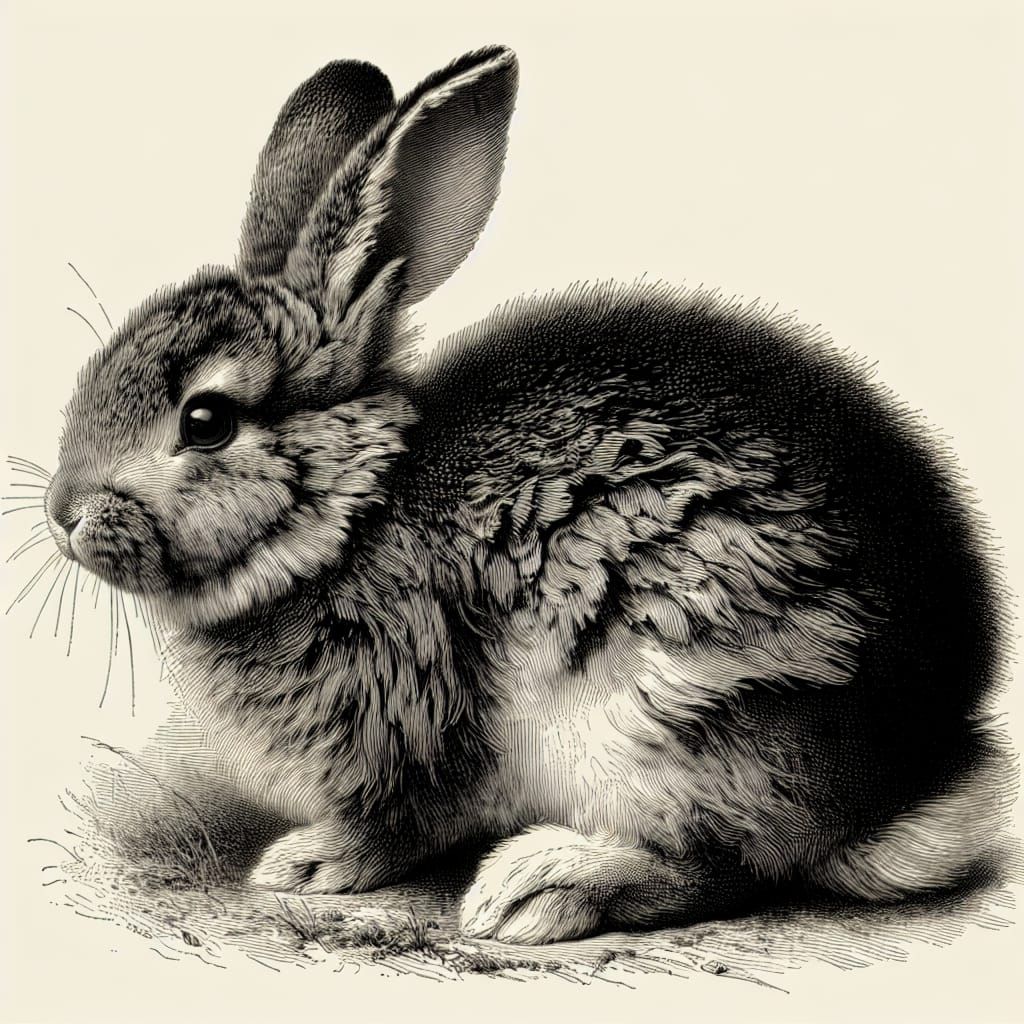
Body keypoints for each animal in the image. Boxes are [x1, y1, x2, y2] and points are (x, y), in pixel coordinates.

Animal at [43, 44, 1009, 945]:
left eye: (206, 420)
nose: (63, 516)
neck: (350, 516)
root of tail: (892, 791)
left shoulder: (409, 713)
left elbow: (395, 822)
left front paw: (309, 863)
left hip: (669, 723)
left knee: (727, 868)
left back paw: (540, 888)